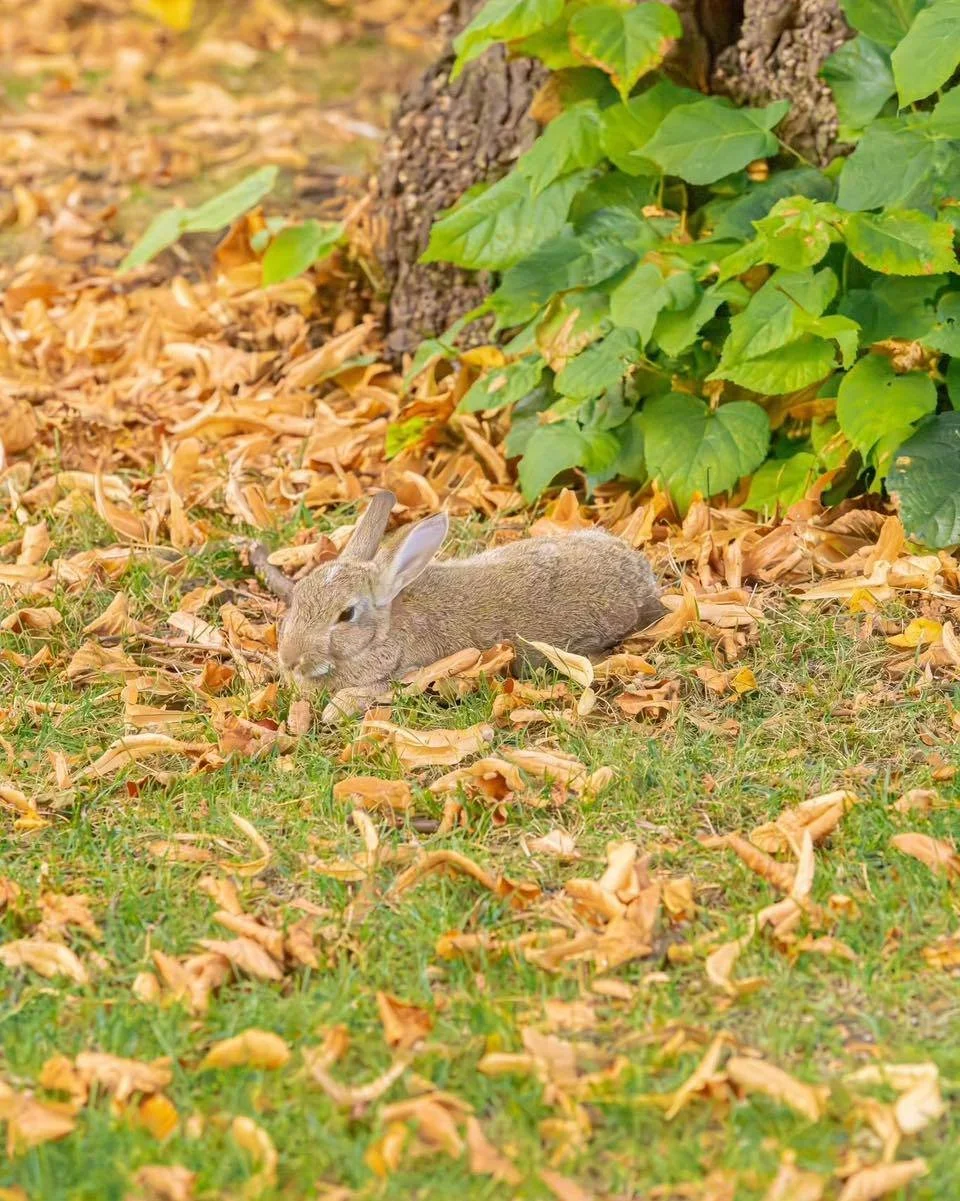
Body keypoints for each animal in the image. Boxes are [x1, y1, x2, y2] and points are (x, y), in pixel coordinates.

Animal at [277, 490, 664, 722]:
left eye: (346, 615)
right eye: (300, 594)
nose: (290, 659)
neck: (382, 633)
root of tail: (641, 576)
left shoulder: (408, 674)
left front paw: (334, 710)